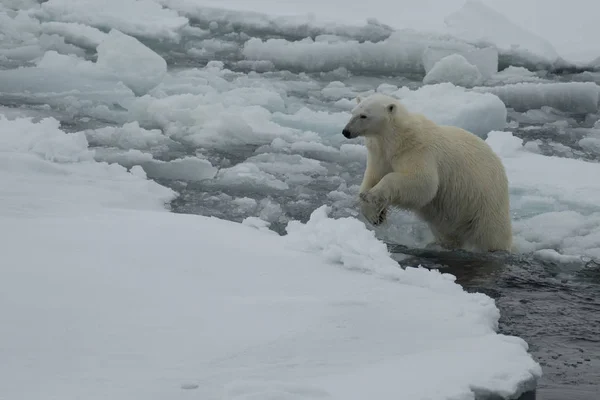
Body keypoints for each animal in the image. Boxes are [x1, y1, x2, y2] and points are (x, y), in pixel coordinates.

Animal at [342, 92, 510, 252]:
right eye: (353, 112)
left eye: (364, 115)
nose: (346, 131)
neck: (395, 138)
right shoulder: (380, 155)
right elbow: (372, 177)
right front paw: (374, 214)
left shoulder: (418, 151)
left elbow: (424, 184)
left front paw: (373, 194)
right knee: (447, 232)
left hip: (484, 201)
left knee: (491, 233)